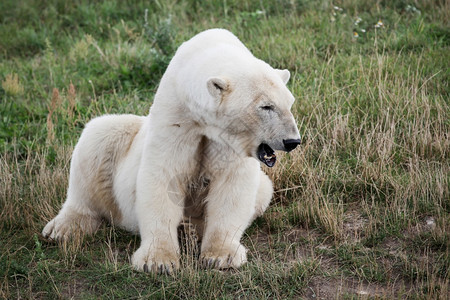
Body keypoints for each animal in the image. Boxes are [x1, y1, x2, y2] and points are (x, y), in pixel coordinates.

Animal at [42, 28, 300, 274]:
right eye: (266, 106)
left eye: (290, 103)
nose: (292, 141)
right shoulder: (176, 118)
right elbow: (164, 175)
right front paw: (158, 262)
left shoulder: (225, 142)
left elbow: (231, 183)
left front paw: (220, 256)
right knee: (99, 137)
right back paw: (63, 228)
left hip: (262, 187)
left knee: (263, 188)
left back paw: (190, 228)